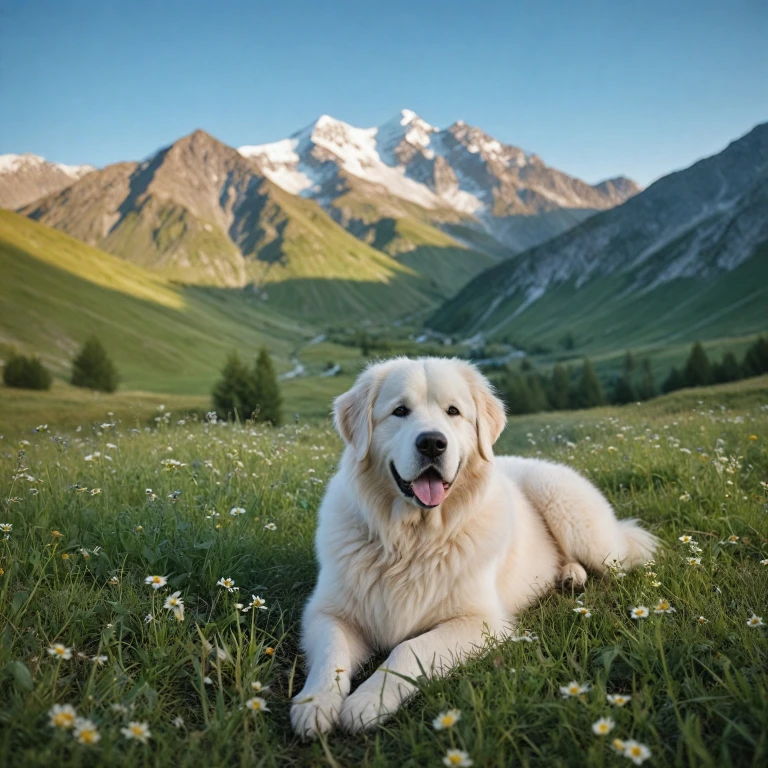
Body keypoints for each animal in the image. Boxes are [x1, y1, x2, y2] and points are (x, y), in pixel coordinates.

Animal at [292, 356, 656, 736]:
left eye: (453, 411)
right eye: (400, 411)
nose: (432, 443)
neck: (413, 540)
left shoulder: (482, 622)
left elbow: (410, 647)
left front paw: (368, 701)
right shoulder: (325, 612)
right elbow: (332, 653)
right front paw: (315, 704)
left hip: (571, 513)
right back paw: (569, 575)